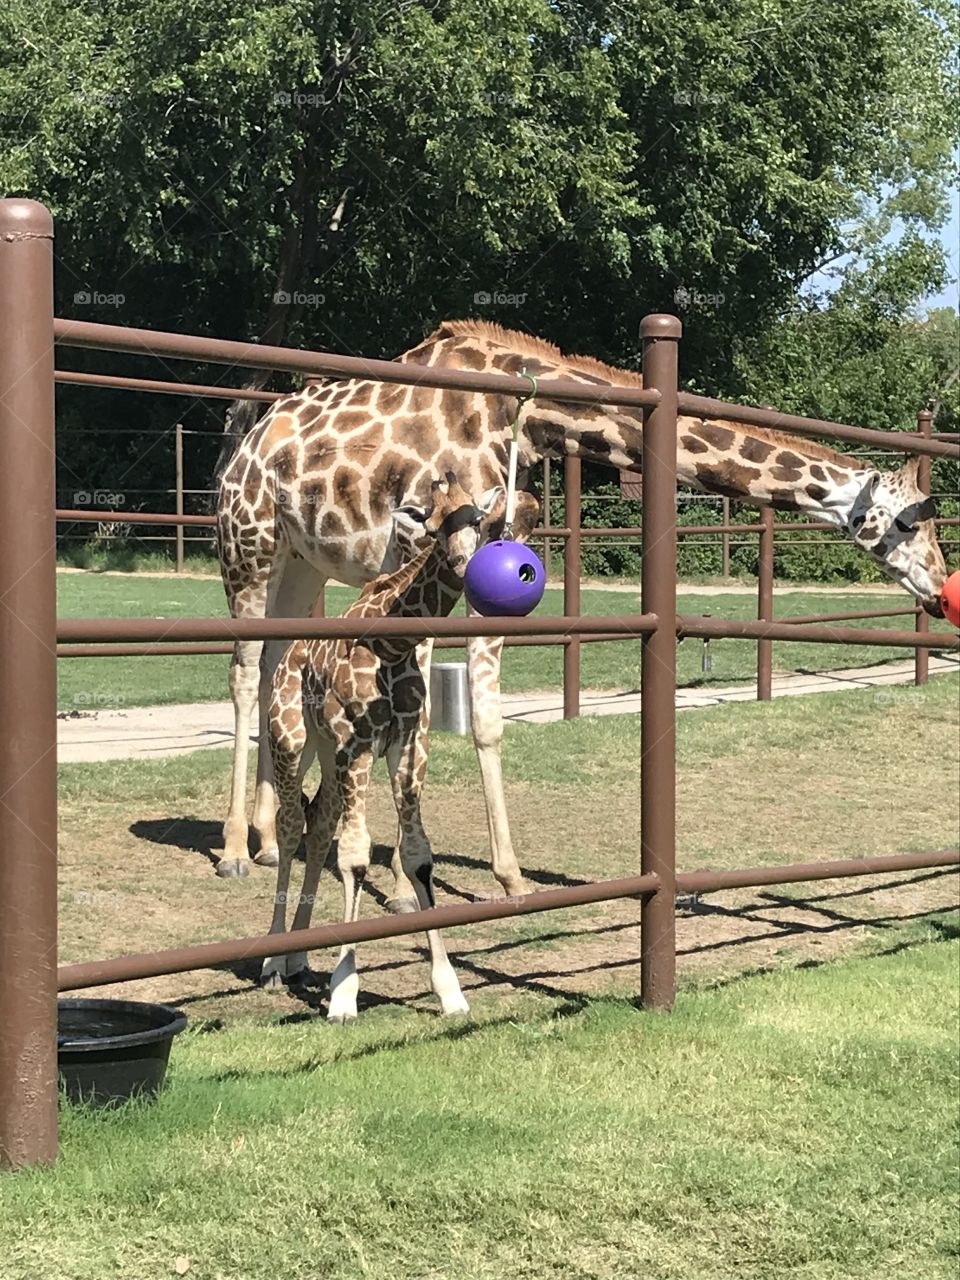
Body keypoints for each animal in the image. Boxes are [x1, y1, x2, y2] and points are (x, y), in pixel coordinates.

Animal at [259, 471, 537, 1018]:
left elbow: (416, 854)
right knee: (289, 825)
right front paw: (344, 992)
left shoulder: (404, 745)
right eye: (431, 523)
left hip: (328, 756)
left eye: (478, 519)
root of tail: (288, 659)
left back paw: (300, 957)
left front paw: (450, 990)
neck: (390, 643)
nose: (465, 564)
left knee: (318, 826)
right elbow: (355, 855)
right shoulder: (356, 744)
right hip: (291, 739)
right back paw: (274, 961)